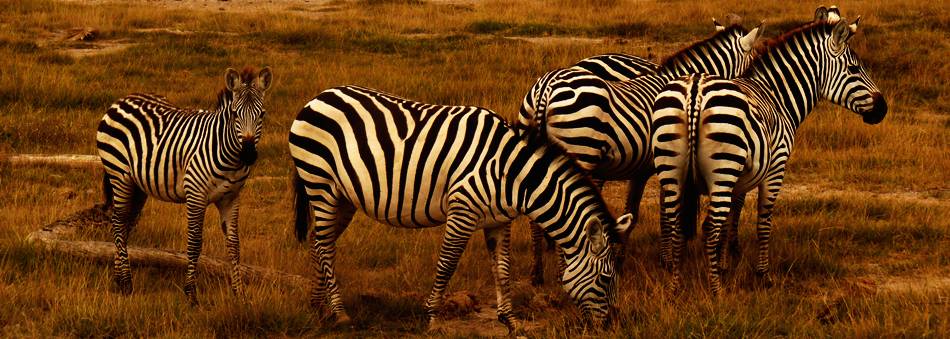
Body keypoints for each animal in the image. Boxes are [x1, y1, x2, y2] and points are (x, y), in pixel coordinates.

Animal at [96, 66, 274, 306]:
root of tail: (122, 99)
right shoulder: (196, 195)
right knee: (118, 222)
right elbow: (194, 243)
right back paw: (126, 283)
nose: (248, 155)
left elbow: (234, 245)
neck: (229, 157)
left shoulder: (231, 198)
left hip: (138, 185)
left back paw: (119, 279)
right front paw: (191, 294)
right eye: (235, 114)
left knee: (124, 225)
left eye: (262, 114)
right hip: (119, 175)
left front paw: (239, 294)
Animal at [290, 85, 632, 332]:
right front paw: (431, 318)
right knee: (325, 246)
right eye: (606, 279)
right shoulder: (462, 211)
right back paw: (339, 313)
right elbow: (447, 264)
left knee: (320, 243)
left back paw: (318, 306)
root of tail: (317, 98)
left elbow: (503, 269)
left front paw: (511, 322)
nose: (612, 326)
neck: (512, 173)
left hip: (342, 198)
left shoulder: (499, 220)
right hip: (320, 185)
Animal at [516, 18, 764, 284]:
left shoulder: (642, 168)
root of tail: (547, 87)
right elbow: (664, 213)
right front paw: (666, 260)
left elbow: (633, 212)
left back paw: (537, 272)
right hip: (581, 150)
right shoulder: (664, 163)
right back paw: (561, 272)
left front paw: (621, 258)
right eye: (751, 67)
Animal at [652, 12, 888, 294]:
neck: (778, 97)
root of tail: (695, 90)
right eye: (854, 69)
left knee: (675, 223)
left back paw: (675, 288)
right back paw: (716, 292)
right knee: (709, 227)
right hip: (722, 170)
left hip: (672, 169)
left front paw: (724, 263)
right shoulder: (776, 168)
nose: (883, 109)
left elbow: (733, 215)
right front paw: (762, 274)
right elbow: (763, 221)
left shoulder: (741, 177)